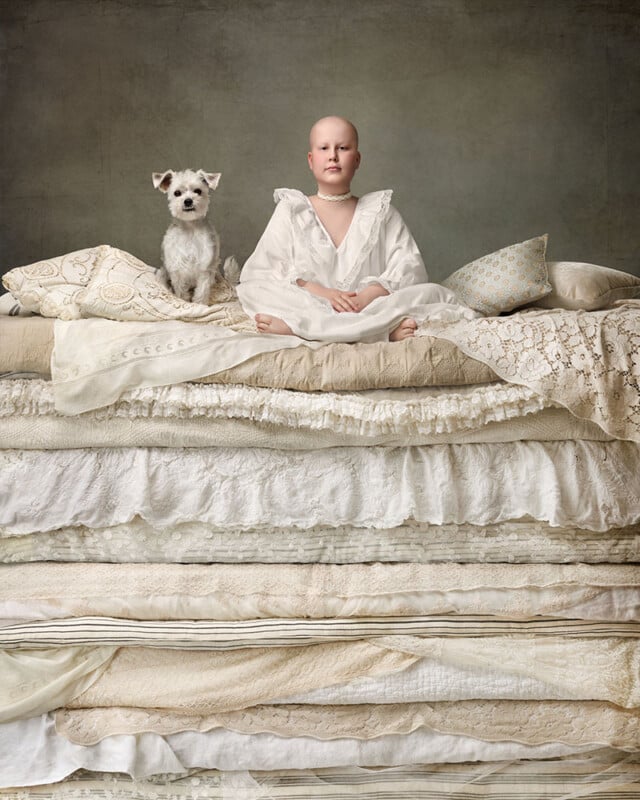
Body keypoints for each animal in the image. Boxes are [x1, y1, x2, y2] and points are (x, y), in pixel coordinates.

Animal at [153, 168, 240, 304]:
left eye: (198, 191)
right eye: (177, 193)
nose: (188, 200)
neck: (190, 228)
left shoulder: (205, 268)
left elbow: (202, 292)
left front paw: (200, 305)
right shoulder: (177, 268)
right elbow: (181, 292)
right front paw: (184, 301)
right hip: (162, 272)